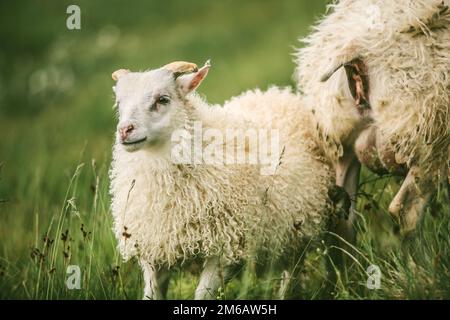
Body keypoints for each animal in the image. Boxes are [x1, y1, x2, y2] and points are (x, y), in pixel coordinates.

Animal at [108, 60, 338, 300]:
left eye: (163, 99)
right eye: (119, 104)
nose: (125, 130)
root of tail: (277, 95)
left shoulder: (226, 247)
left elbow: (203, 295)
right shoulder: (154, 250)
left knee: (291, 273)